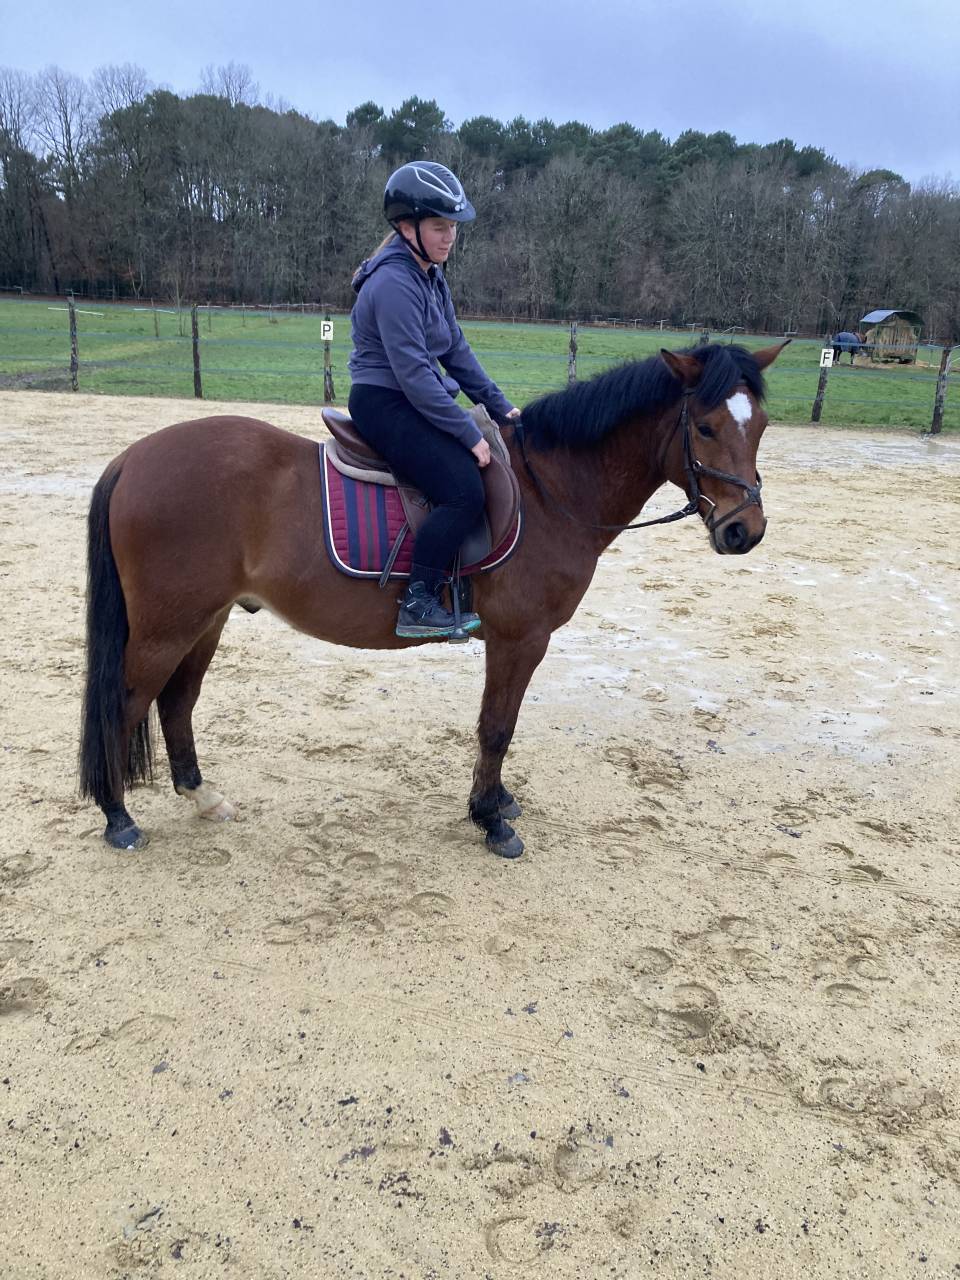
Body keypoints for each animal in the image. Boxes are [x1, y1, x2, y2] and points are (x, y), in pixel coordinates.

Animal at [79, 340, 788, 859]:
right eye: (704, 428)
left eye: (760, 426)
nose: (744, 532)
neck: (550, 489)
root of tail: (132, 459)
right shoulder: (519, 639)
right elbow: (497, 728)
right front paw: (490, 820)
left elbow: (498, 727)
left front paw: (496, 803)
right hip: (167, 627)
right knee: (125, 704)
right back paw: (118, 818)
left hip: (207, 620)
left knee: (176, 703)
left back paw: (201, 797)